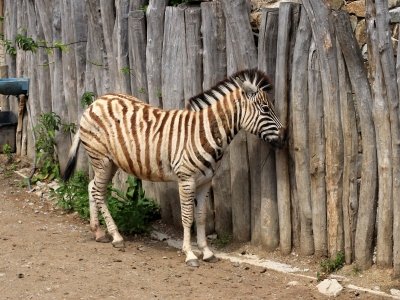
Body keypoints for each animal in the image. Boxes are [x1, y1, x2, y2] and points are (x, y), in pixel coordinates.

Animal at [64, 69, 286, 268]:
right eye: (265, 109)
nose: (285, 138)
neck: (205, 132)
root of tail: (95, 102)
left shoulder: (205, 181)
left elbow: (201, 217)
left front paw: (206, 252)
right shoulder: (186, 180)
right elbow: (187, 218)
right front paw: (190, 254)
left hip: (110, 162)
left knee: (92, 187)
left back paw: (98, 232)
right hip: (101, 158)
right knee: (99, 191)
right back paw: (116, 236)